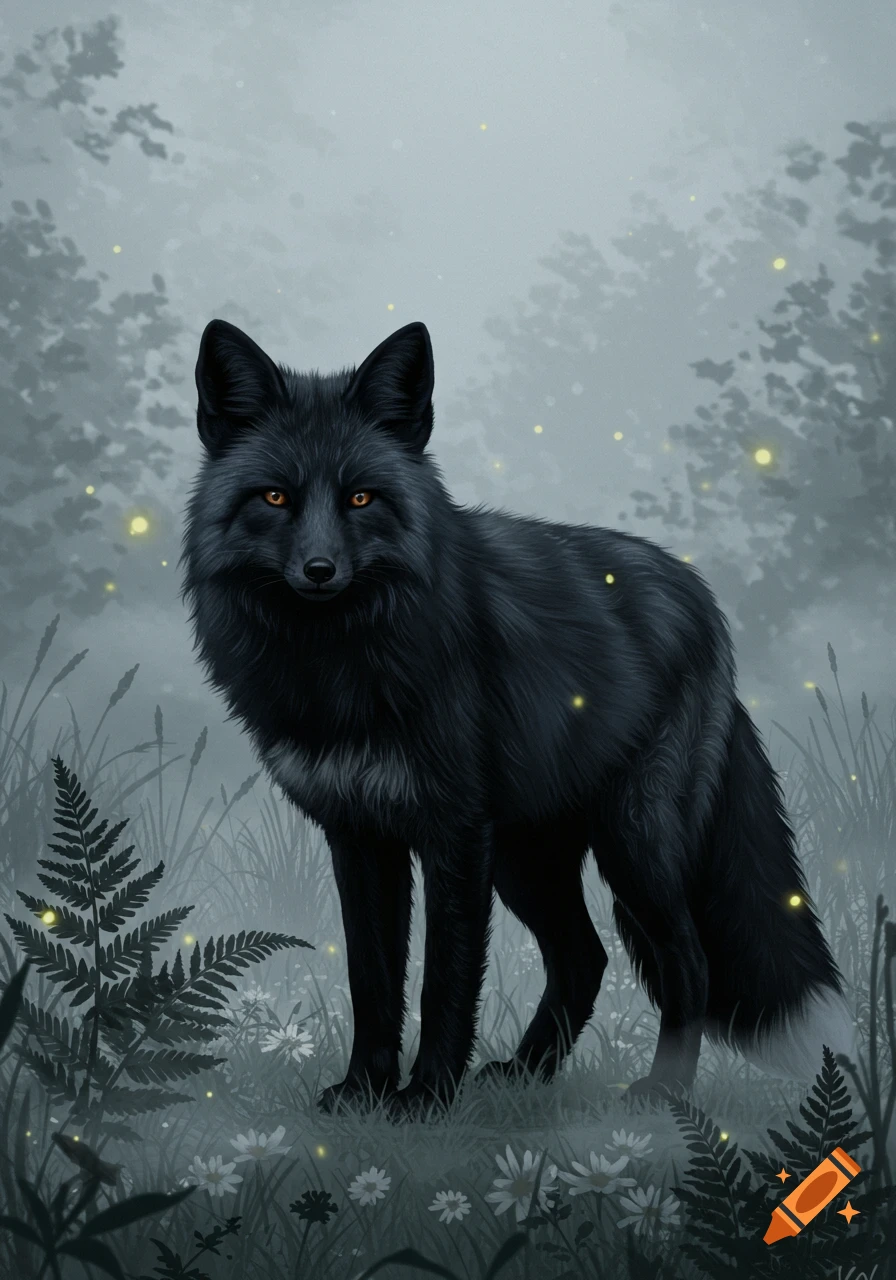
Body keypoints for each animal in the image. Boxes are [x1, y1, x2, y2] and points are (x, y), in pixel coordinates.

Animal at [180, 316, 854, 1122]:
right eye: (276, 497)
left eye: (362, 498)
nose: (319, 571)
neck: (341, 668)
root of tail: (701, 596)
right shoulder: (361, 836)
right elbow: (373, 982)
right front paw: (365, 1092)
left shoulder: (454, 833)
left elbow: (443, 982)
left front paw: (425, 1100)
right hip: (526, 858)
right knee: (584, 956)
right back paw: (528, 1073)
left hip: (632, 843)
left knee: (684, 959)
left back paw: (664, 1092)